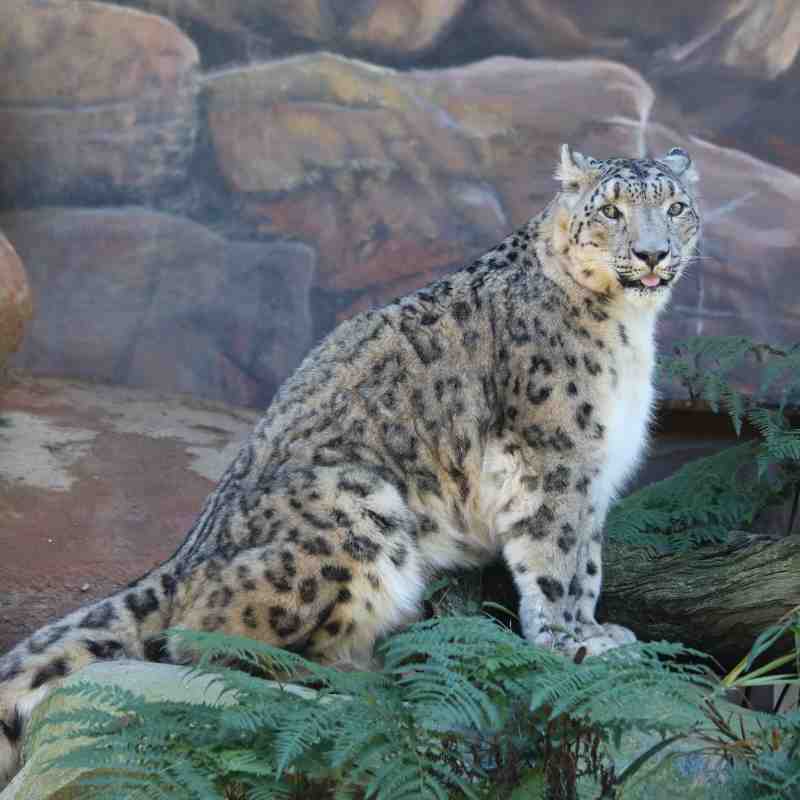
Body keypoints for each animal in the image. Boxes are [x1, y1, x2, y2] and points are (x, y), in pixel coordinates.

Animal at [0, 144, 700, 786]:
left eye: (675, 207)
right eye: (610, 211)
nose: (653, 254)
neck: (630, 331)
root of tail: (185, 552)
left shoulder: (595, 471)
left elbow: (588, 563)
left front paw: (598, 631)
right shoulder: (553, 454)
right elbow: (556, 560)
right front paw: (570, 639)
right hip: (359, 507)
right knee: (201, 637)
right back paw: (339, 672)